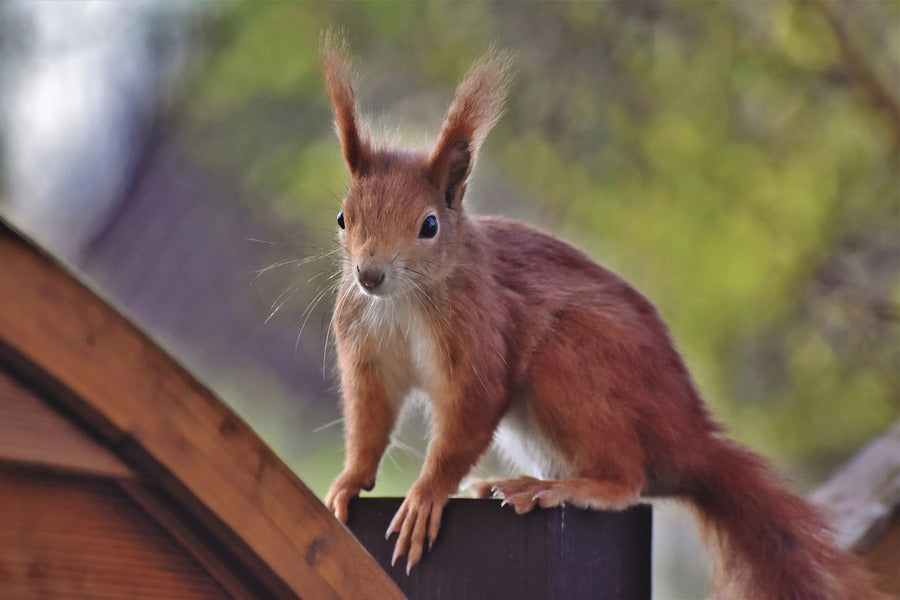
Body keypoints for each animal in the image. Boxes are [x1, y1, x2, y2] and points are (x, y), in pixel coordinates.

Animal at [320, 37, 884, 600]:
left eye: (430, 226)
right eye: (343, 218)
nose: (369, 275)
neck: (403, 302)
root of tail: (688, 442)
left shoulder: (481, 331)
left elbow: (468, 415)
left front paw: (425, 496)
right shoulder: (366, 351)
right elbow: (369, 419)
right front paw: (348, 481)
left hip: (570, 360)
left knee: (626, 480)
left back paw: (556, 488)